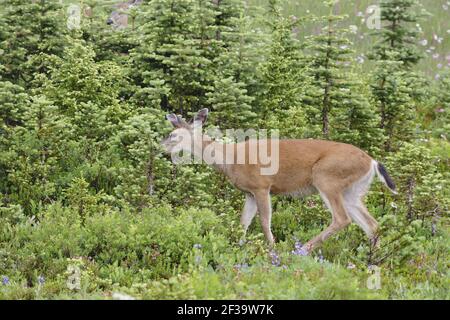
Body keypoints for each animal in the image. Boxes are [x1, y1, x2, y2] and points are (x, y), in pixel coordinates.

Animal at [163, 109, 398, 254]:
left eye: (174, 136)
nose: (161, 145)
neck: (230, 158)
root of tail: (372, 161)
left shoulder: (262, 186)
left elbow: (264, 221)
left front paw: (271, 249)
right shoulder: (249, 192)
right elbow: (243, 222)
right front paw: (239, 248)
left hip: (326, 178)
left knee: (342, 219)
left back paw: (302, 249)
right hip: (353, 190)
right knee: (372, 225)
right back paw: (373, 262)